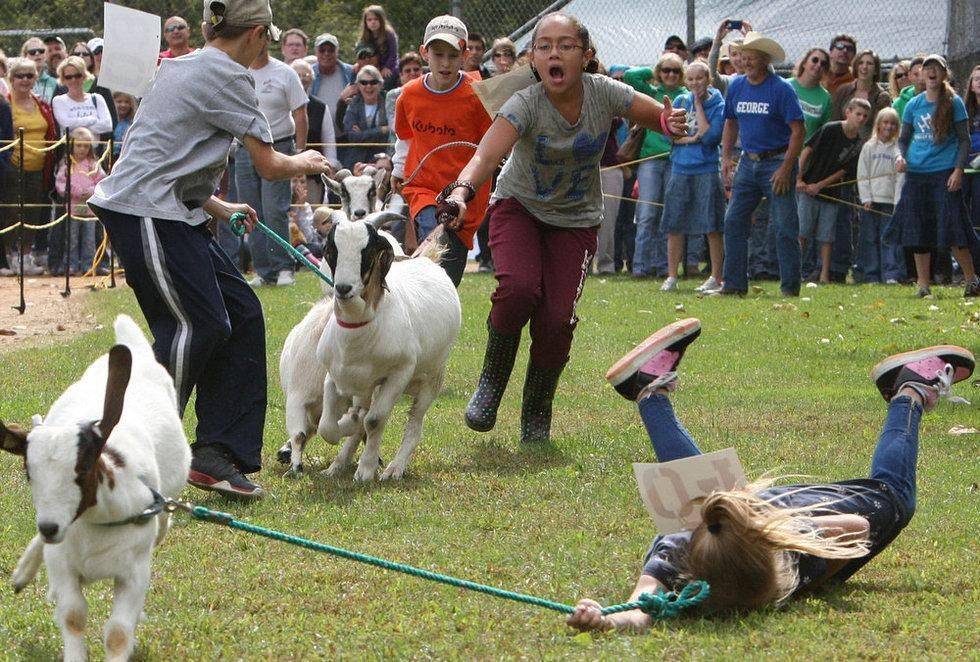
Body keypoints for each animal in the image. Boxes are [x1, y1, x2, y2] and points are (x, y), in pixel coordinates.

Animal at [1, 316, 190, 662]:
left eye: (84, 468)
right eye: (28, 473)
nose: (49, 527)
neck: (99, 520)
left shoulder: (133, 570)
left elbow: (117, 633)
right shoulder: (64, 562)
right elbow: (73, 616)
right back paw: (24, 575)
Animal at [318, 218, 464, 482]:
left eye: (366, 251)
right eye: (331, 250)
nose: (343, 288)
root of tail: (428, 258)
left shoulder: (399, 373)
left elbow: (375, 421)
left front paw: (365, 470)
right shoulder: (334, 376)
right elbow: (327, 426)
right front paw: (348, 426)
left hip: (432, 378)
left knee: (415, 423)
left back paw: (394, 468)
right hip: (368, 387)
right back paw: (338, 464)